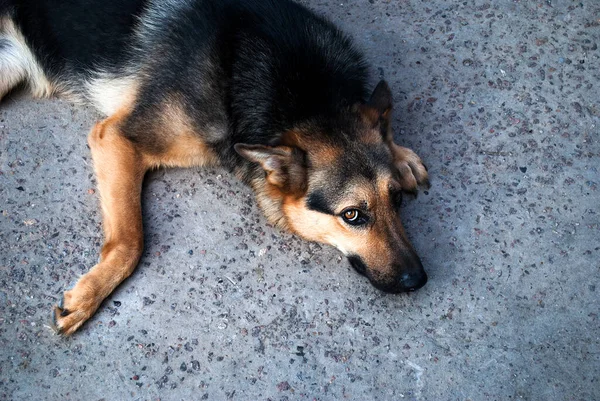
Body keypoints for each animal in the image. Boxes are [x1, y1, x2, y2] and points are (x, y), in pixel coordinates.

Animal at [1, 0, 432, 334]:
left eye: (397, 200)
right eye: (353, 215)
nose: (418, 281)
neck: (306, 96)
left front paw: (402, 154)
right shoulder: (117, 138)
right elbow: (130, 241)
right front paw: (91, 293)